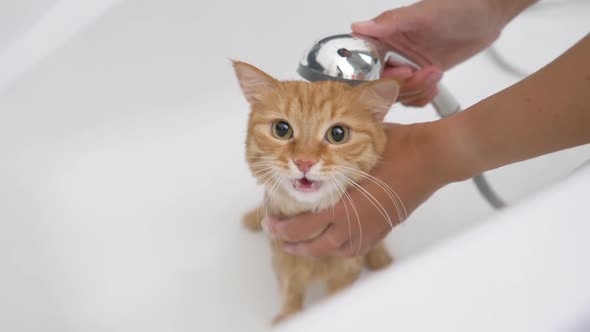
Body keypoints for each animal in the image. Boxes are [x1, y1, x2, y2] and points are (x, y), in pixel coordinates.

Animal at [234, 60, 400, 324]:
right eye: (282, 129)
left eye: (338, 134)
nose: (304, 162)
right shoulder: (283, 263)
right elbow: (290, 291)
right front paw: (288, 318)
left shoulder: (346, 270)